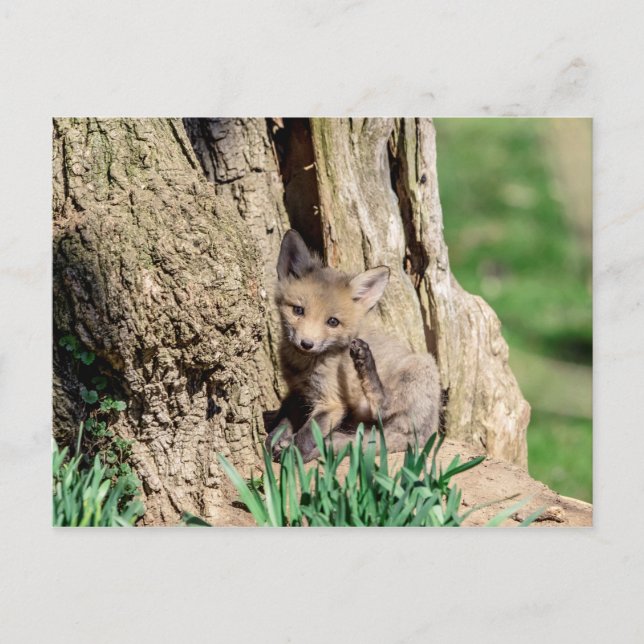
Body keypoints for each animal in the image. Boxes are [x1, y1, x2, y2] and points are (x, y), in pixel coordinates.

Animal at [266, 229, 441, 463]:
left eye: (332, 322)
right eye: (298, 310)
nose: (306, 344)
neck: (304, 366)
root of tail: (425, 434)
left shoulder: (332, 402)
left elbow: (308, 433)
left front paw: (293, 453)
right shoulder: (298, 392)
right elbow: (285, 417)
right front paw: (276, 438)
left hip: (422, 367)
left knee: (383, 406)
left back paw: (365, 361)